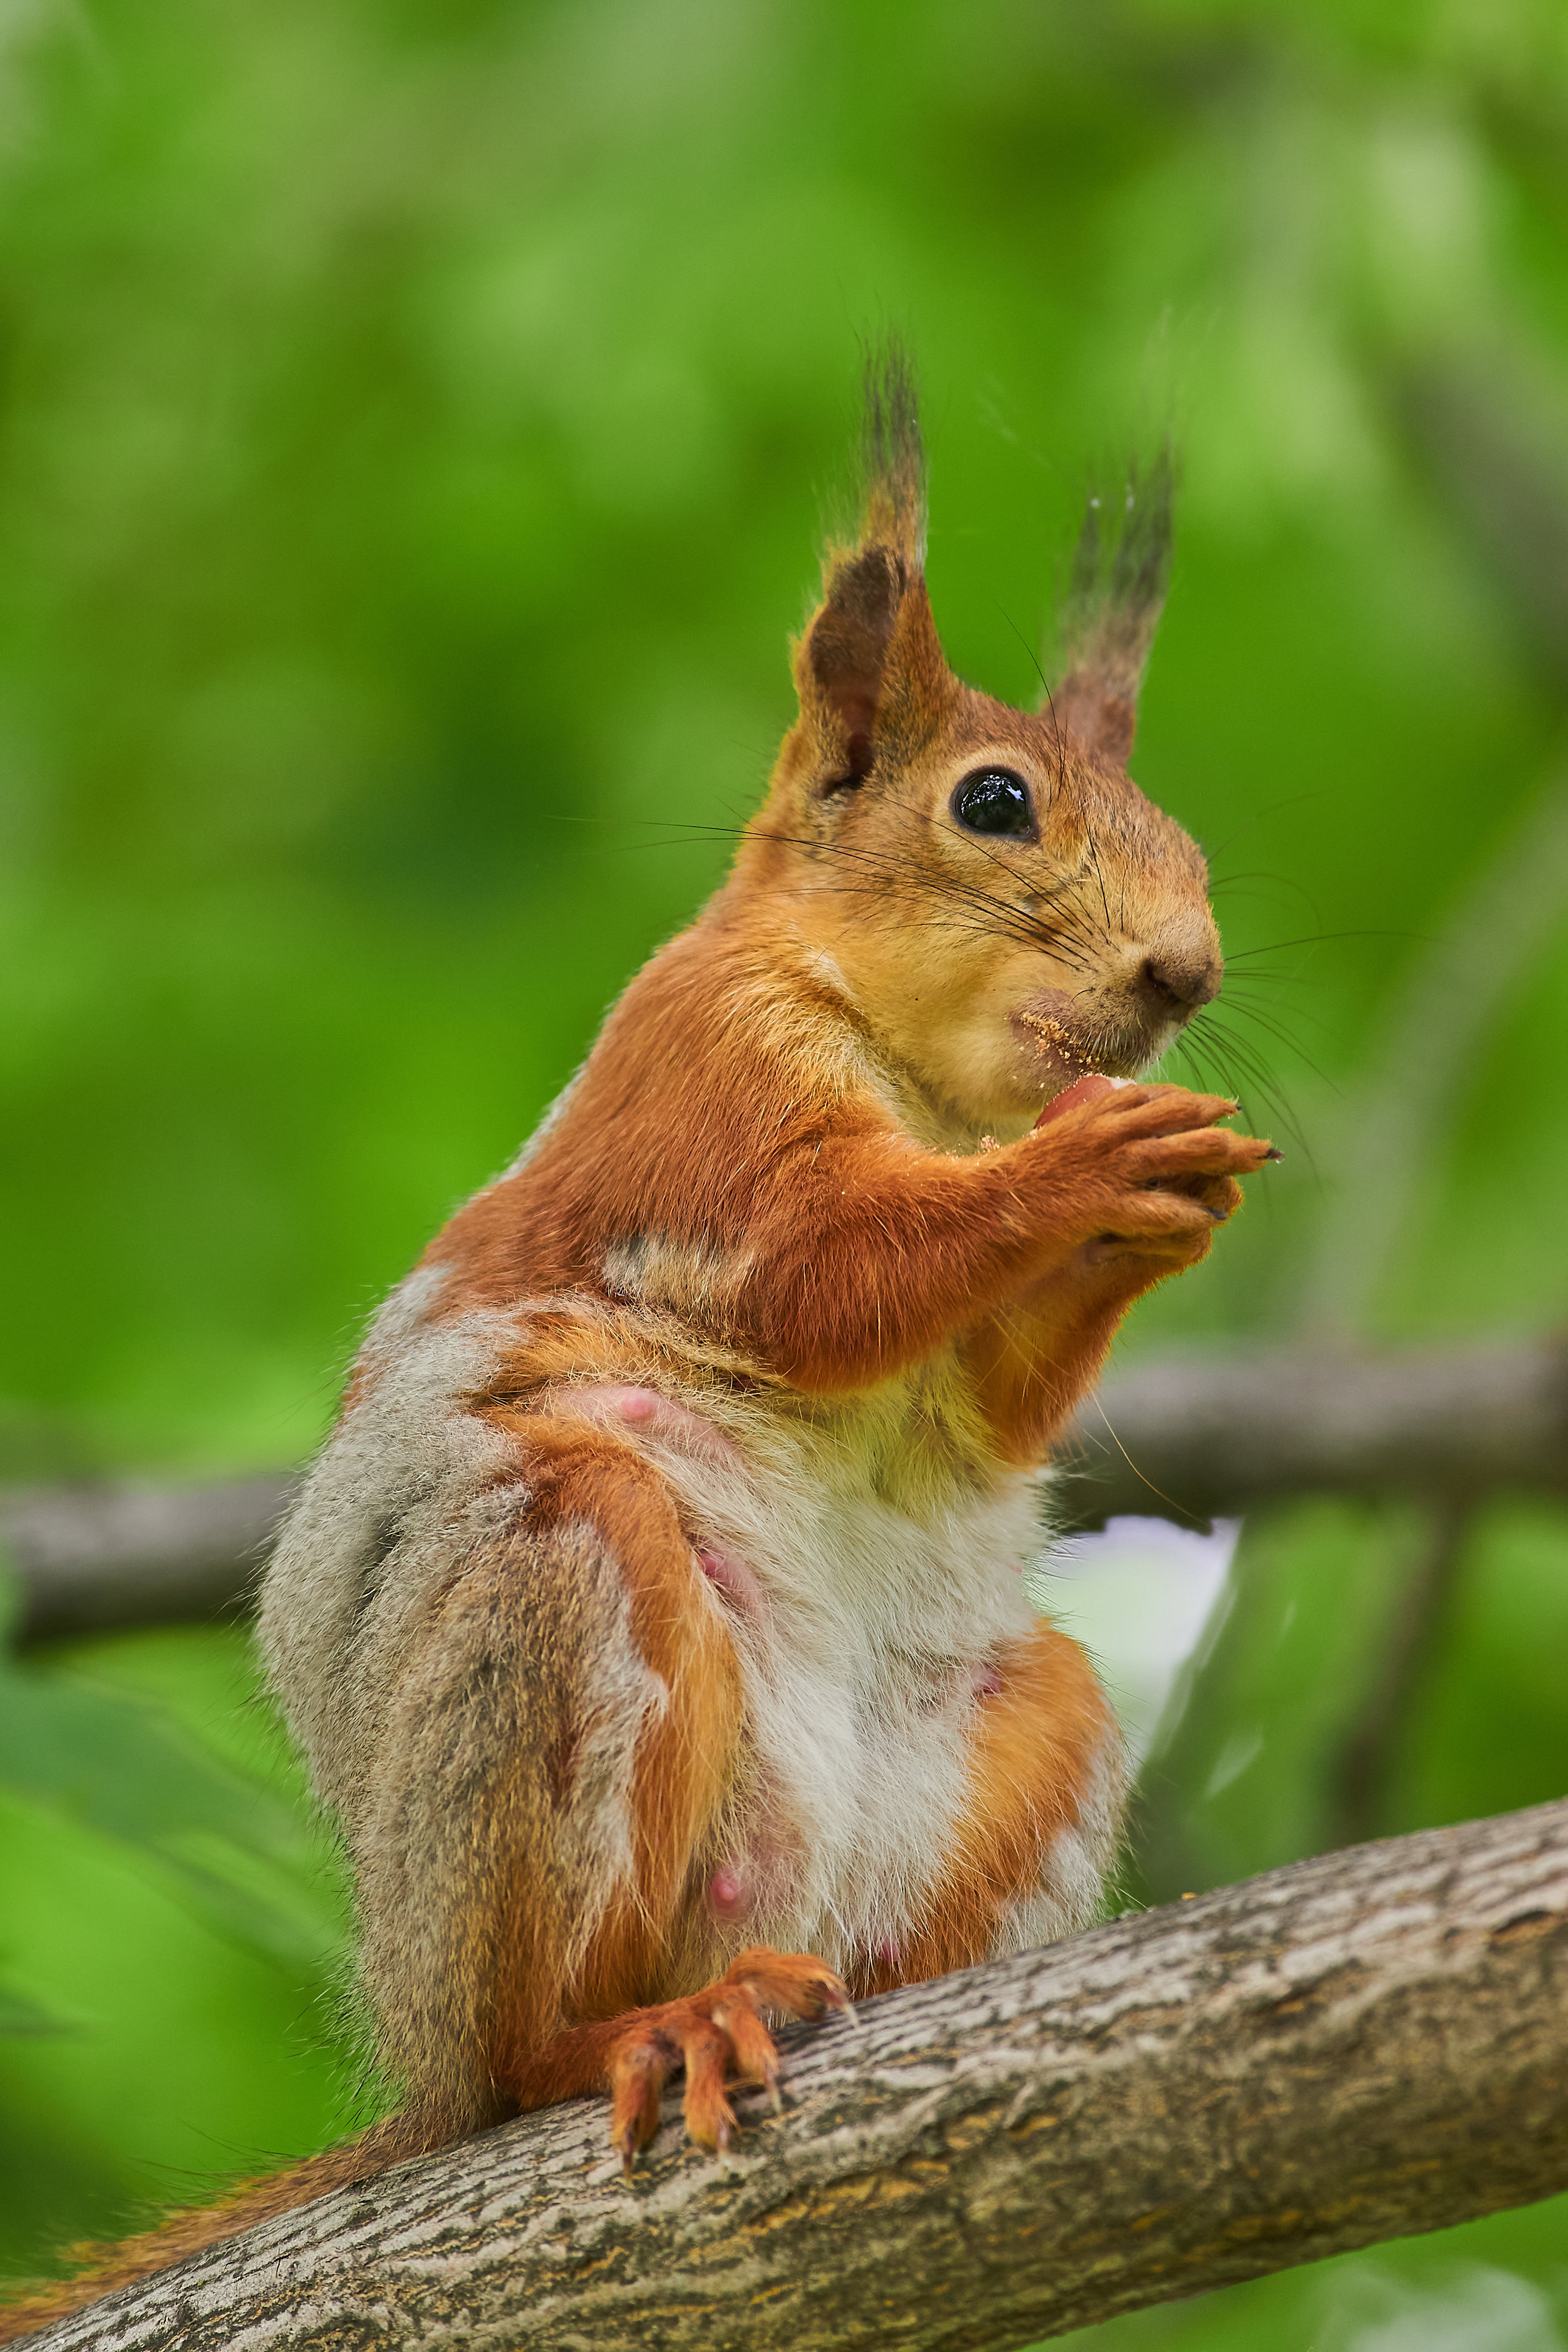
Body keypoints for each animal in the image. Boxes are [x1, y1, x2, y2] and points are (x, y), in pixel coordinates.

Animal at [3, 348, 1279, 2333]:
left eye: (1188, 842)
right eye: (993, 804)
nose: (1184, 974)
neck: (920, 1076)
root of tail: (419, 2056)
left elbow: (983, 1412)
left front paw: (1158, 1204)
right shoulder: (698, 1099)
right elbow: (822, 1274)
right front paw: (1083, 1166)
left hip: (1017, 1741)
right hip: (558, 1609)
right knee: (535, 2033)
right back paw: (627, 2032)